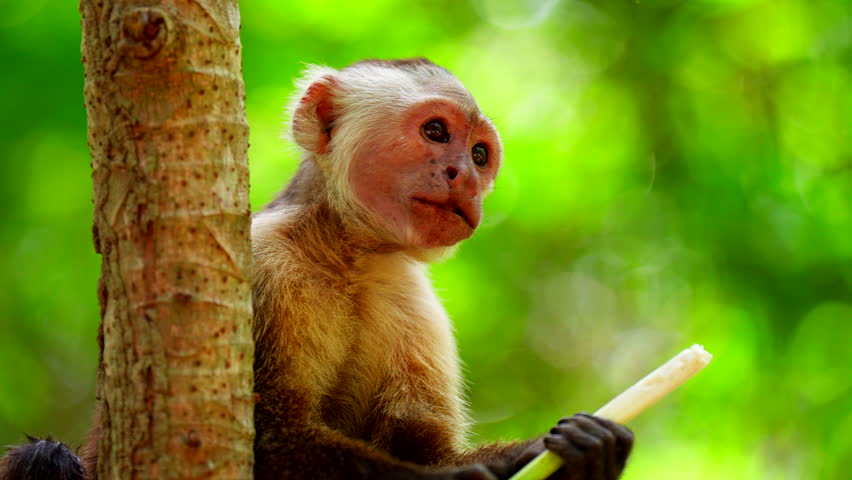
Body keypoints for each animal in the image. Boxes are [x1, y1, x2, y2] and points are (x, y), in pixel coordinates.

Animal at [0, 58, 633, 480]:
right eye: (436, 132)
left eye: (480, 155)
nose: (464, 175)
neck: (348, 252)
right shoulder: (261, 260)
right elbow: (265, 437)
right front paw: (458, 478)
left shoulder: (412, 297)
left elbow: (420, 441)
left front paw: (582, 456)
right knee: (44, 459)